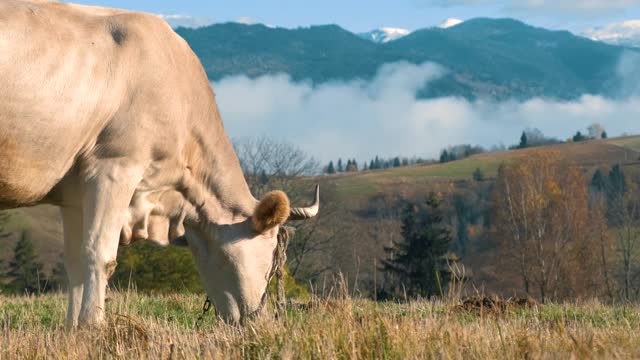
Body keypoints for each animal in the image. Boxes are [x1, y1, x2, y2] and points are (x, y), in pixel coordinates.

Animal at [0, 0, 318, 326]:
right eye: (270, 262)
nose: (260, 321)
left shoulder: (75, 193)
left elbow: (76, 262)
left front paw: (73, 330)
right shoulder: (114, 167)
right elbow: (100, 254)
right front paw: (93, 325)